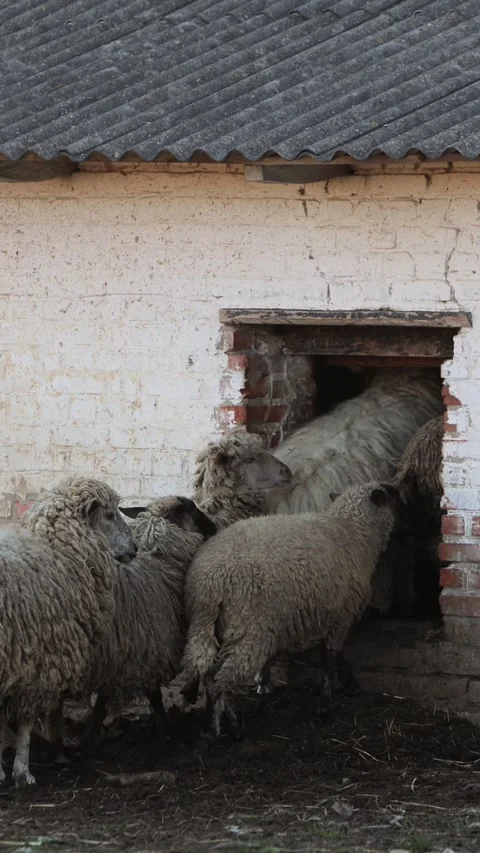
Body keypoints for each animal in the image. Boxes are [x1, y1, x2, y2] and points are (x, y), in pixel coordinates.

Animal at [0, 476, 136, 788]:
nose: (135, 548)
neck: (61, 550)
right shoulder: (37, 663)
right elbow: (24, 722)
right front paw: (22, 772)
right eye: (109, 515)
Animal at [181, 481, 402, 741]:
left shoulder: (333, 614)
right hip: (249, 631)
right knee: (218, 682)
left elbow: (335, 656)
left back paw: (220, 719)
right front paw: (327, 705)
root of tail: (209, 586)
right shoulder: (340, 615)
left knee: (206, 673)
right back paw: (225, 729)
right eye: (396, 498)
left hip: (208, 627)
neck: (355, 531)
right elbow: (331, 658)